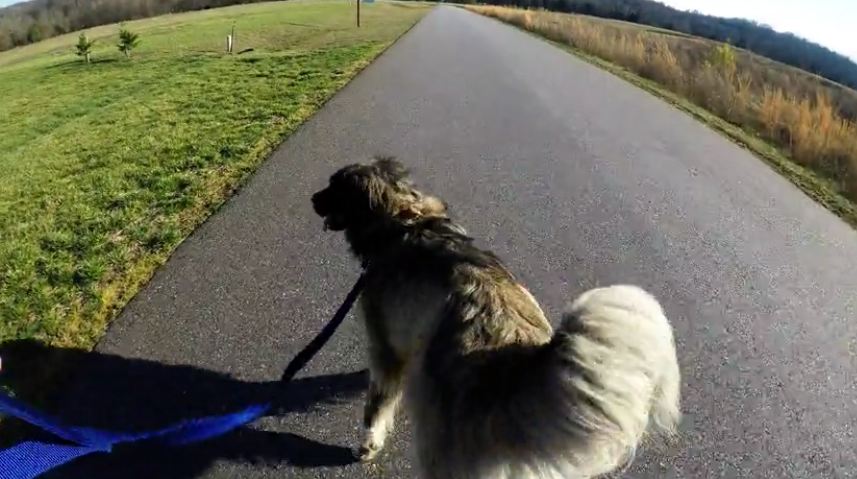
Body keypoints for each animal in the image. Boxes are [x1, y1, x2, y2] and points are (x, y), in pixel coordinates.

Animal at [310, 159, 680, 478]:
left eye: (333, 186)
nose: (312, 199)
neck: (404, 218)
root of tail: (512, 365)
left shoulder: (386, 344)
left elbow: (377, 404)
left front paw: (367, 444)